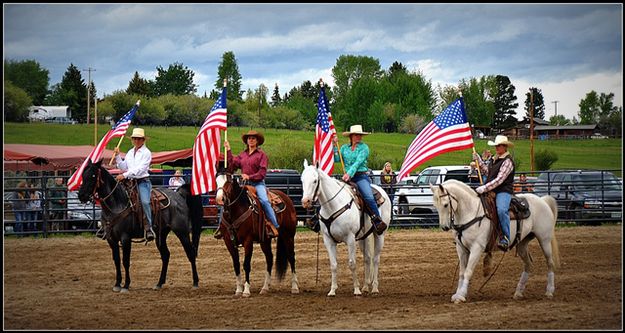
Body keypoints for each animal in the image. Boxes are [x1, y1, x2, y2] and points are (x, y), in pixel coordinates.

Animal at [75, 160, 202, 292]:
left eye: (93, 176)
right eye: (83, 175)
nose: (81, 195)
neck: (117, 204)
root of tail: (179, 195)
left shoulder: (125, 238)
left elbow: (125, 261)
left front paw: (126, 285)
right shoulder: (111, 239)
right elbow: (116, 260)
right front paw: (117, 284)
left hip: (182, 231)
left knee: (190, 253)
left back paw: (195, 282)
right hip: (161, 234)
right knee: (166, 255)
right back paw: (159, 283)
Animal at [298, 159, 390, 296]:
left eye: (315, 180)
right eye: (302, 180)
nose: (305, 202)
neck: (333, 205)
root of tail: (382, 191)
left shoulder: (350, 239)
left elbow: (352, 263)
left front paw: (356, 290)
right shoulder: (328, 240)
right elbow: (333, 265)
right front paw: (332, 290)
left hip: (379, 234)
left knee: (375, 259)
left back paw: (374, 288)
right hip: (363, 237)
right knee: (367, 258)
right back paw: (365, 287)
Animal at [428, 180, 560, 302]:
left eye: (445, 204)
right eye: (435, 205)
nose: (444, 227)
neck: (471, 212)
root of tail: (542, 200)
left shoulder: (477, 248)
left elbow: (468, 271)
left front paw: (461, 295)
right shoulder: (461, 248)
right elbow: (462, 272)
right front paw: (457, 293)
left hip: (544, 240)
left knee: (550, 263)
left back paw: (549, 291)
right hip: (522, 244)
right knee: (528, 264)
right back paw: (518, 292)